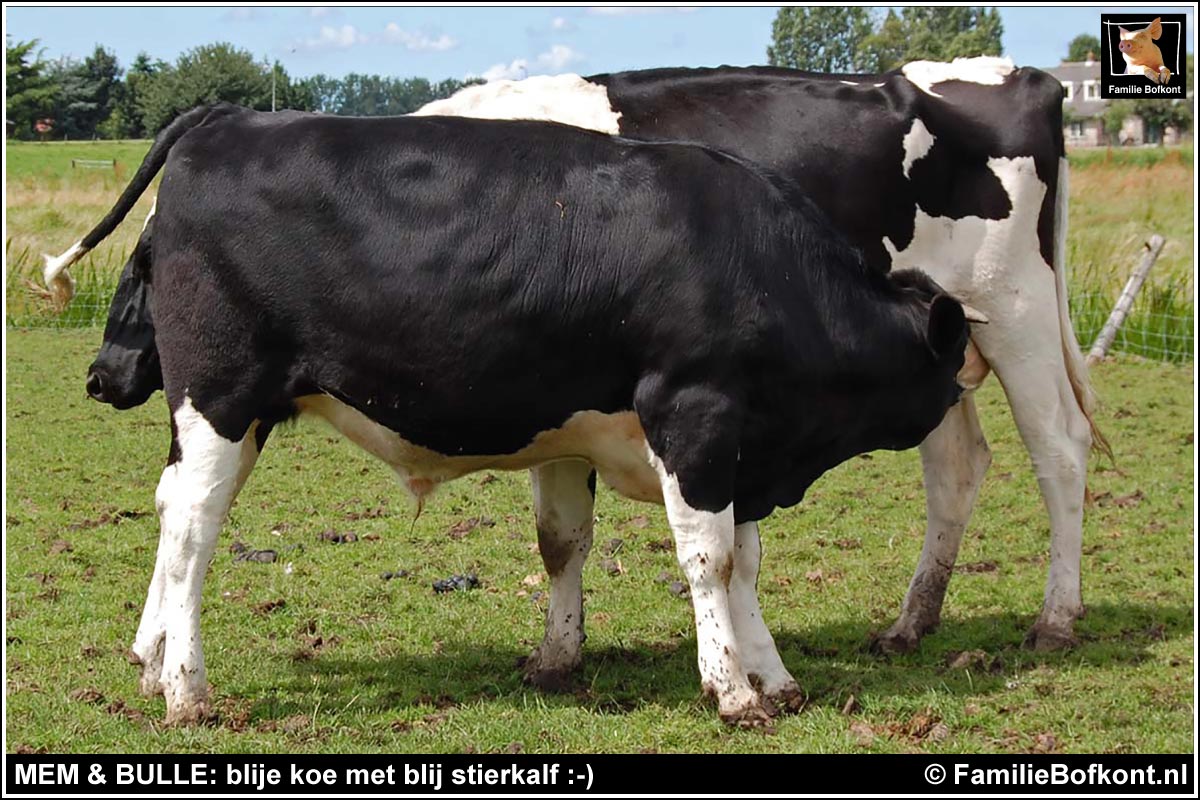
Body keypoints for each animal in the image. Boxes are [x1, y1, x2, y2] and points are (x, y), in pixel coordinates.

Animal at [46, 104, 974, 726]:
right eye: (951, 368)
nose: (962, 399)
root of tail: (229, 119)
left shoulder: (727, 446)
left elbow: (719, 562)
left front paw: (770, 678)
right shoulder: (698, 415)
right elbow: (709, 560)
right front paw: (734, 689)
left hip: (239, 412)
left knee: (174, 514)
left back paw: (154, 665)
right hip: (220, 395)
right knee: (192, 531)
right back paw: (187, 691)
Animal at [413, 57, 1109, 656]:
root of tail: (1015, 73)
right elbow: (561, 536)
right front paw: (559, 653)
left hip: (1018, 308)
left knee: (1060, 447)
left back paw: (1055, 618)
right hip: (941, 341)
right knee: (957, 467)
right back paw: (911, 621)